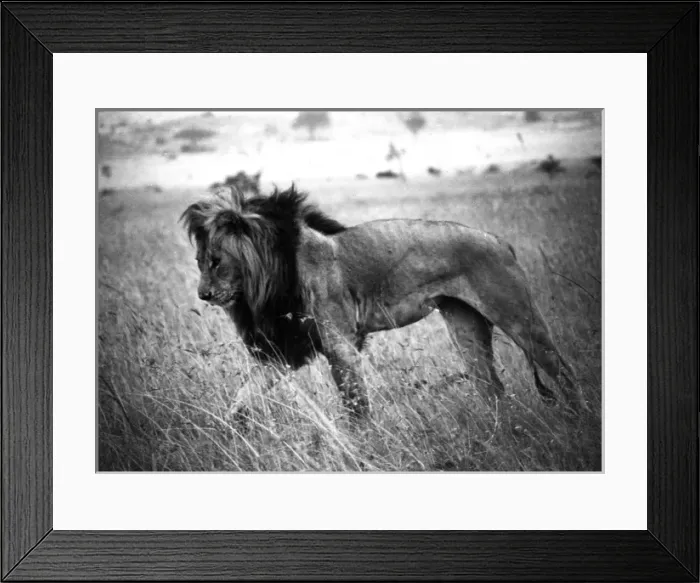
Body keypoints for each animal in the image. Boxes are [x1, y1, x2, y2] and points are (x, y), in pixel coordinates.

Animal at [181, 185, 582, 420]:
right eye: (199, 261)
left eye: (216, 262)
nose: (202, 294)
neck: (274, 274)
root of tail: (499, 240)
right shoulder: (282, 348)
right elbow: (242, 398)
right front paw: (230, 434)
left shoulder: (341, 346)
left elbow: (357, 409)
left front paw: (362, 451)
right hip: (466, 326)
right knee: (493, 388)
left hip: (518, 317)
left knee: (563, 372)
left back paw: (580, 421)